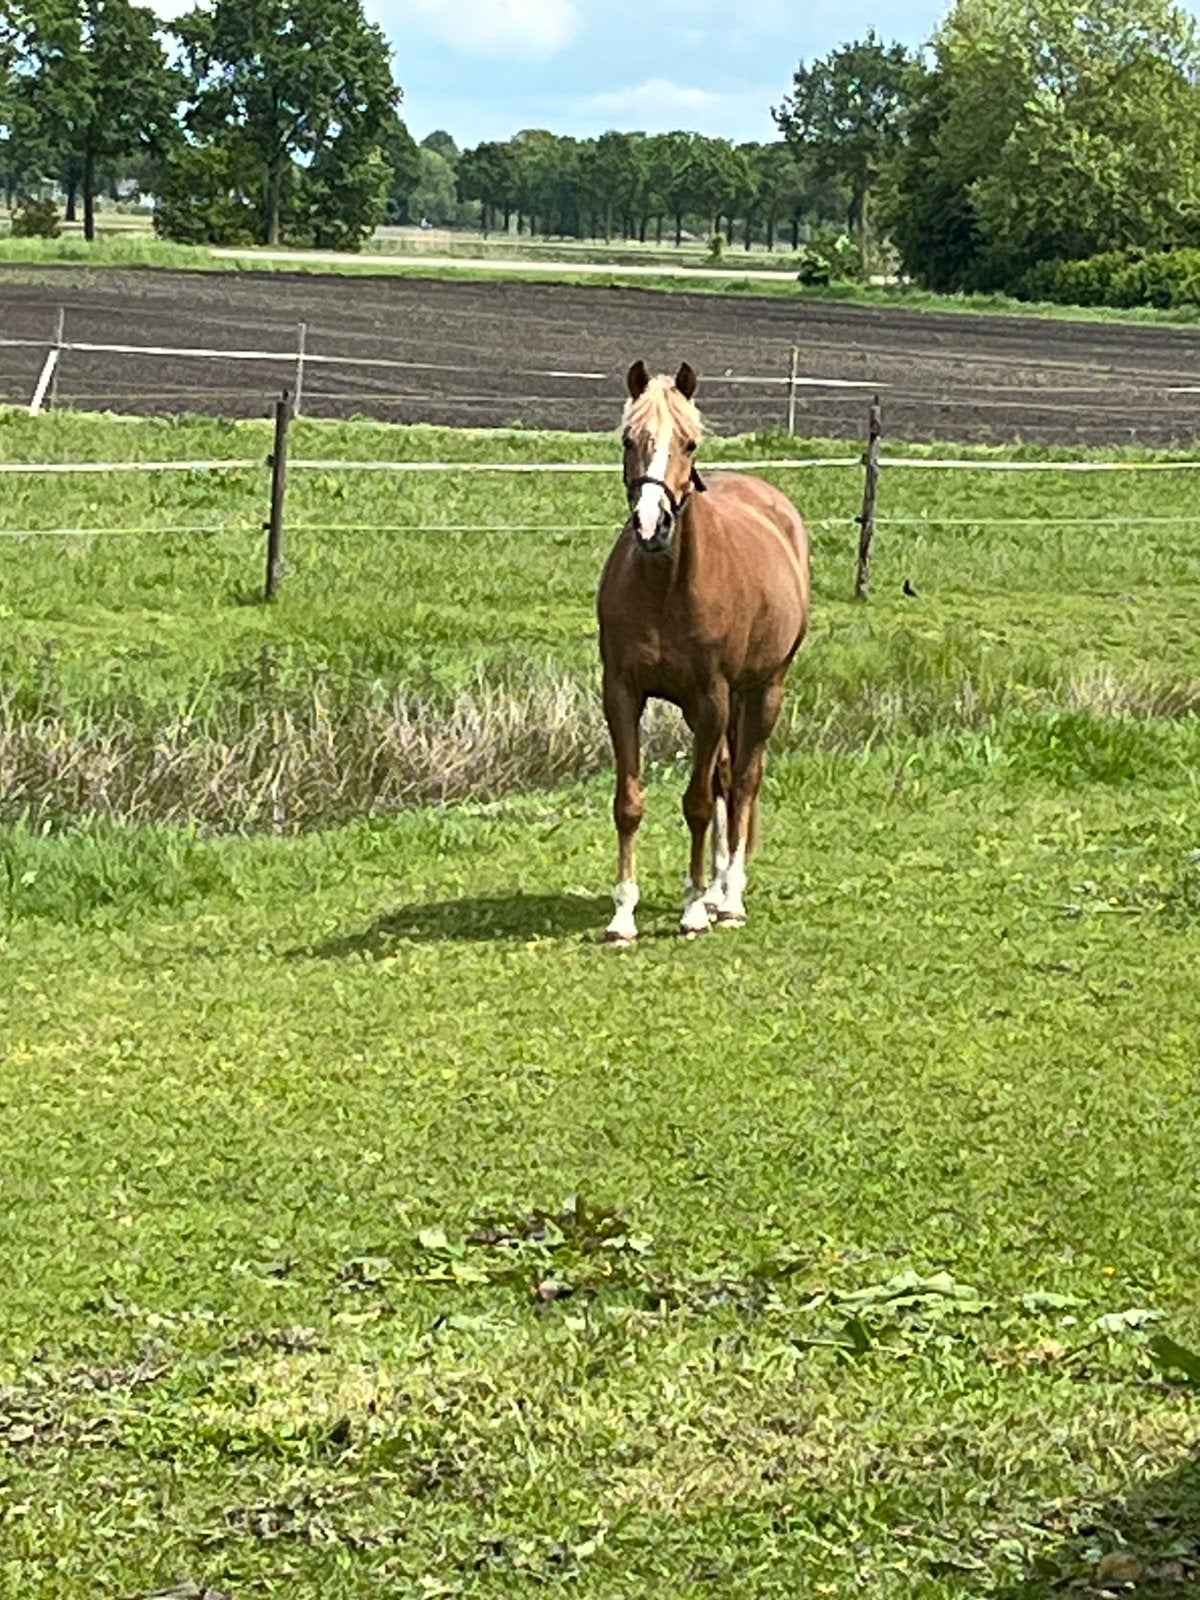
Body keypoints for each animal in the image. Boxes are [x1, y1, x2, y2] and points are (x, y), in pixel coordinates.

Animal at [596, 360, 811, 944]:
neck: (664, 587)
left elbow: (696, 802)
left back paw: (728, 898)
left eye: (689, 443)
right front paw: (623, 916)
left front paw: (693, 909)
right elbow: (629, 803)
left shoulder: (713, 696)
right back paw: (716, 891)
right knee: (725, 780)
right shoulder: (621, 693)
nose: (652, 525)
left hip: (763, 690)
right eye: (629, 439)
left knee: (743, 783)